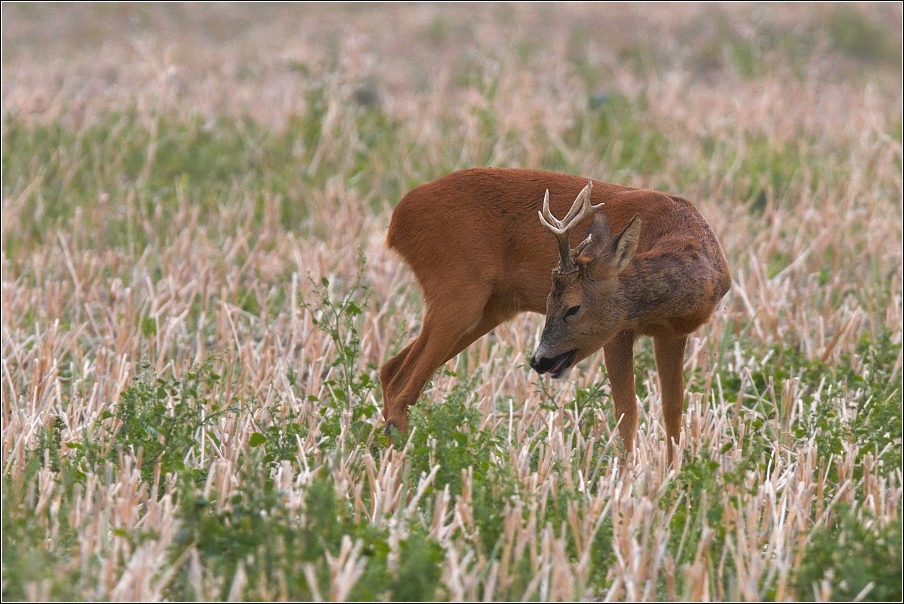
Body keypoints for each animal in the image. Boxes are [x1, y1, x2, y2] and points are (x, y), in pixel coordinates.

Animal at [378, 168, 732, 464]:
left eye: (572, 307)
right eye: (550, 302)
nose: (539, 361)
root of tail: (396, 222)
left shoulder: (673, 334)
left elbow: (673, 409)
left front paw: (672, 478)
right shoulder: (618, 332)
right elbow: (626, 411)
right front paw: (626, 481)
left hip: (490, 307)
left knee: (389, 369)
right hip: (458, 290)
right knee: (401, 386)